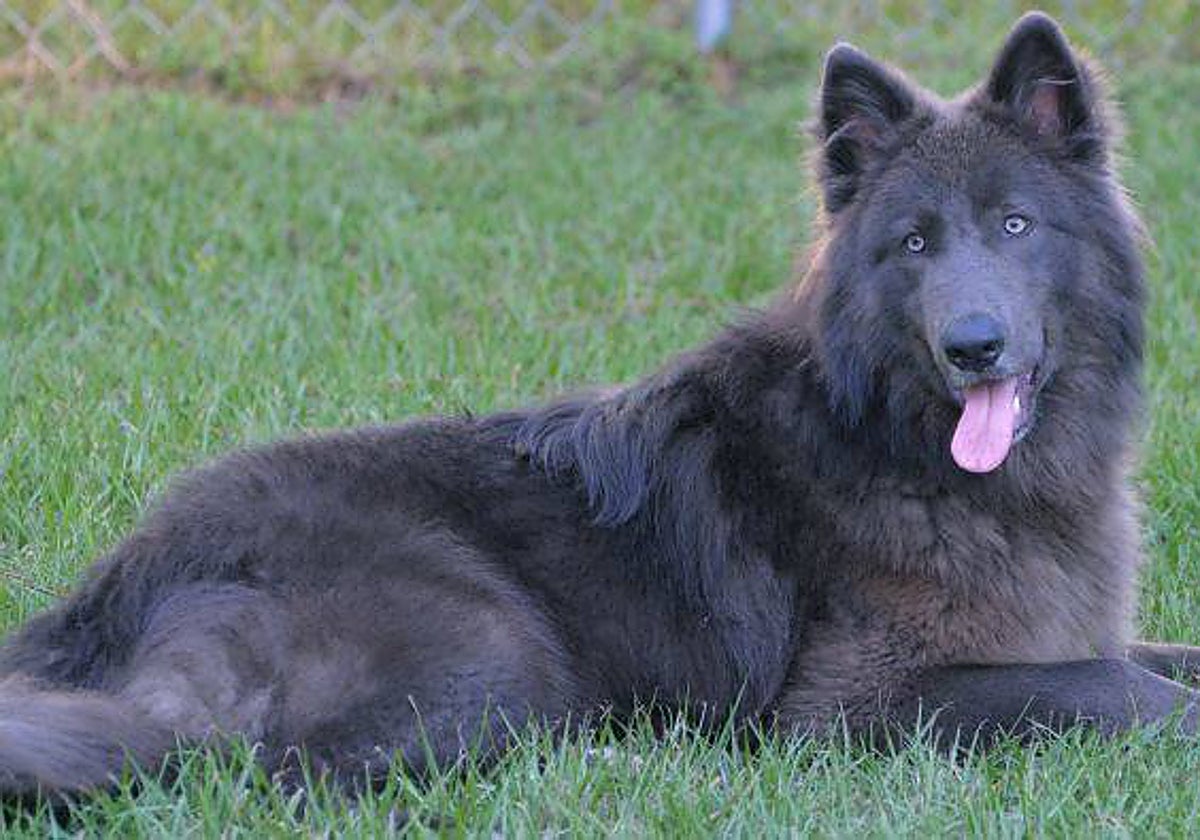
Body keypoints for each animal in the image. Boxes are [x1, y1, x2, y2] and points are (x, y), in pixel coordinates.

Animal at [2, 11, 1198, 799]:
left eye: (1014, 226)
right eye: (912, 245)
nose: (972, 346)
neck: (904, 446)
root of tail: (121, 580)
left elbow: (1152, 660)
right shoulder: (859, 706)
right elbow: (1114, 692)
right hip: (490, 643)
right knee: (269, 775)